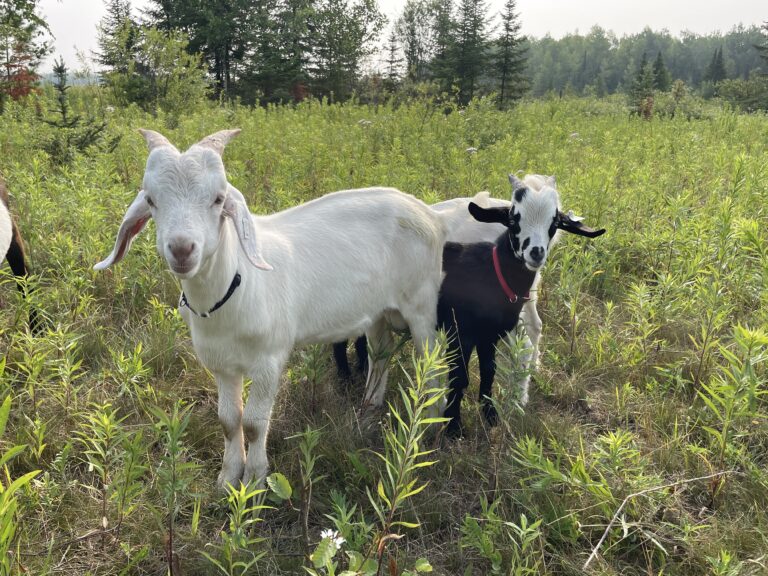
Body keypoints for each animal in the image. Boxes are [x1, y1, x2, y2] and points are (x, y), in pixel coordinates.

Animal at [95, 129, 446, 488]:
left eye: (219, 199)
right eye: (152, 201)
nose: (182, 249)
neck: (236, 288)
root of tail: (430, 214)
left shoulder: (269, 360)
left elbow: (253, 423)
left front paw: (253, 482)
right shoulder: (221, 364)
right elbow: (228, 420)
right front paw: (228, 477)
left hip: (422, 304)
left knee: (432, 365)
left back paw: (427, 431)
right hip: (376, 311)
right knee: (381, 353)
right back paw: (369, 409)